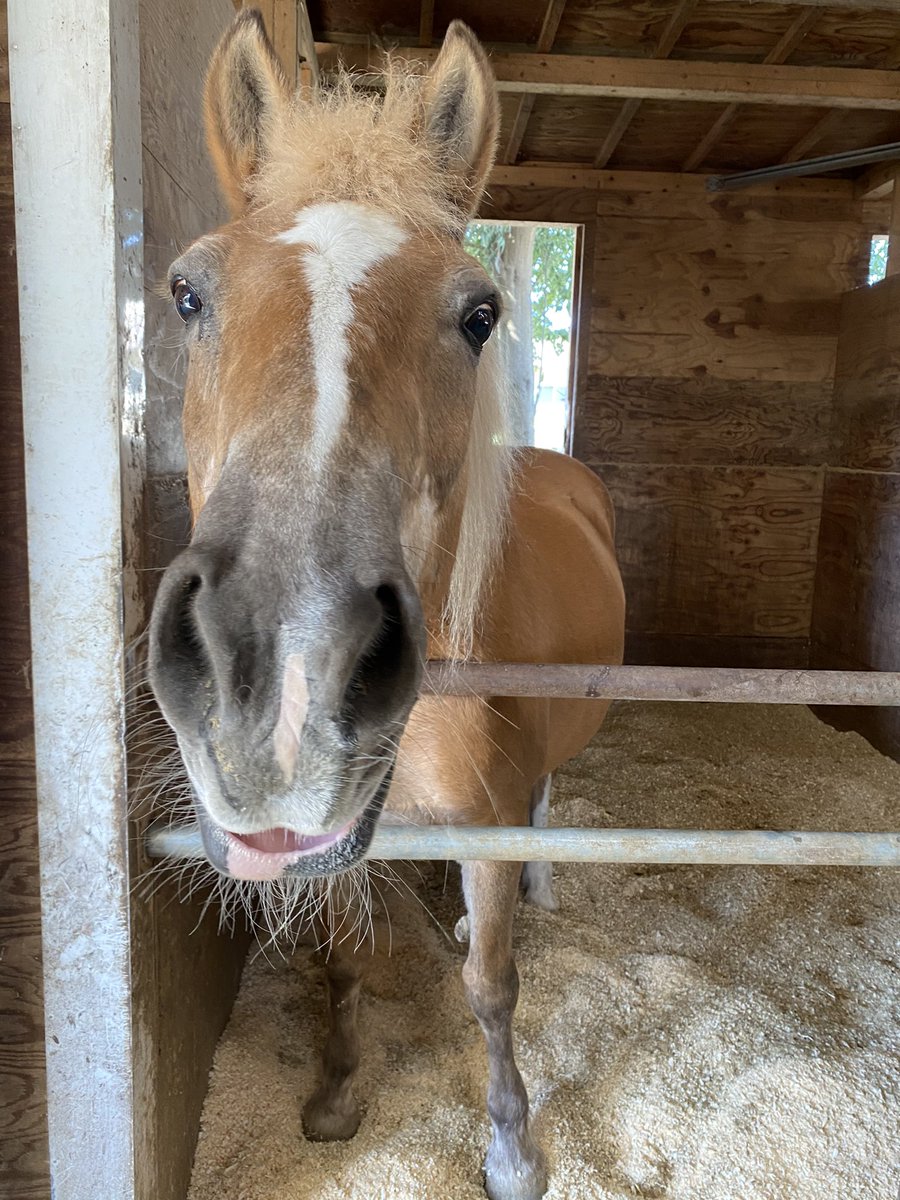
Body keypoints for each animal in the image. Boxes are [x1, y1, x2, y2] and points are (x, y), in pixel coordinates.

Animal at [150, 11, 628, 1200]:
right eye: (188, 293)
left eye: (480, 314)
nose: (276, 684)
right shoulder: (318, 847)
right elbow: (340, 962)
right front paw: (335, 1092)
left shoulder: (482, 838)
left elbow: (493, 989)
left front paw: (512, 1147)